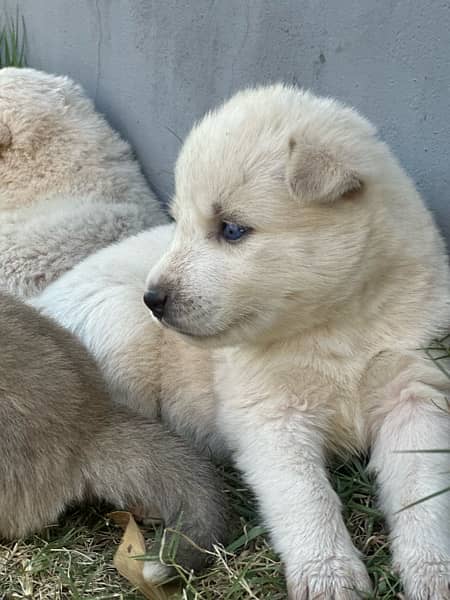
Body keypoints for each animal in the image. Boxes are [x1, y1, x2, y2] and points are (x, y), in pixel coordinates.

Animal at [35, 83, 450, 596]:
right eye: (179, 222)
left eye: (231, 229)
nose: (153, 298)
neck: (334, 327)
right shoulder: (271, 417)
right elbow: (305, 498)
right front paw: (328, 574)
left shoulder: (413, 393)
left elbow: (422, 494)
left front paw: (433, 570)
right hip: (120, 328)